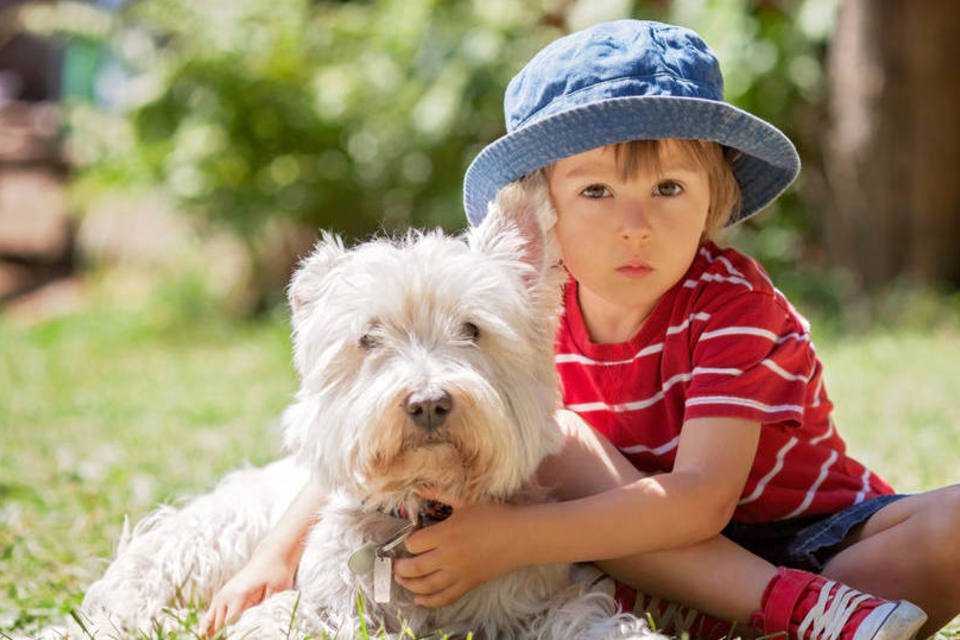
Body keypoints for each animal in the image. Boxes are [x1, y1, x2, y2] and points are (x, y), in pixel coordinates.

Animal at [69, 176, 660, 640]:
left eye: (472, 329)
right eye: (369, 338)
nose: (429, 404)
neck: (418, 516)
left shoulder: (542, 593)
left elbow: (590, 619)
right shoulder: (321, 603)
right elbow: (281, 618)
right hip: (210, 538)